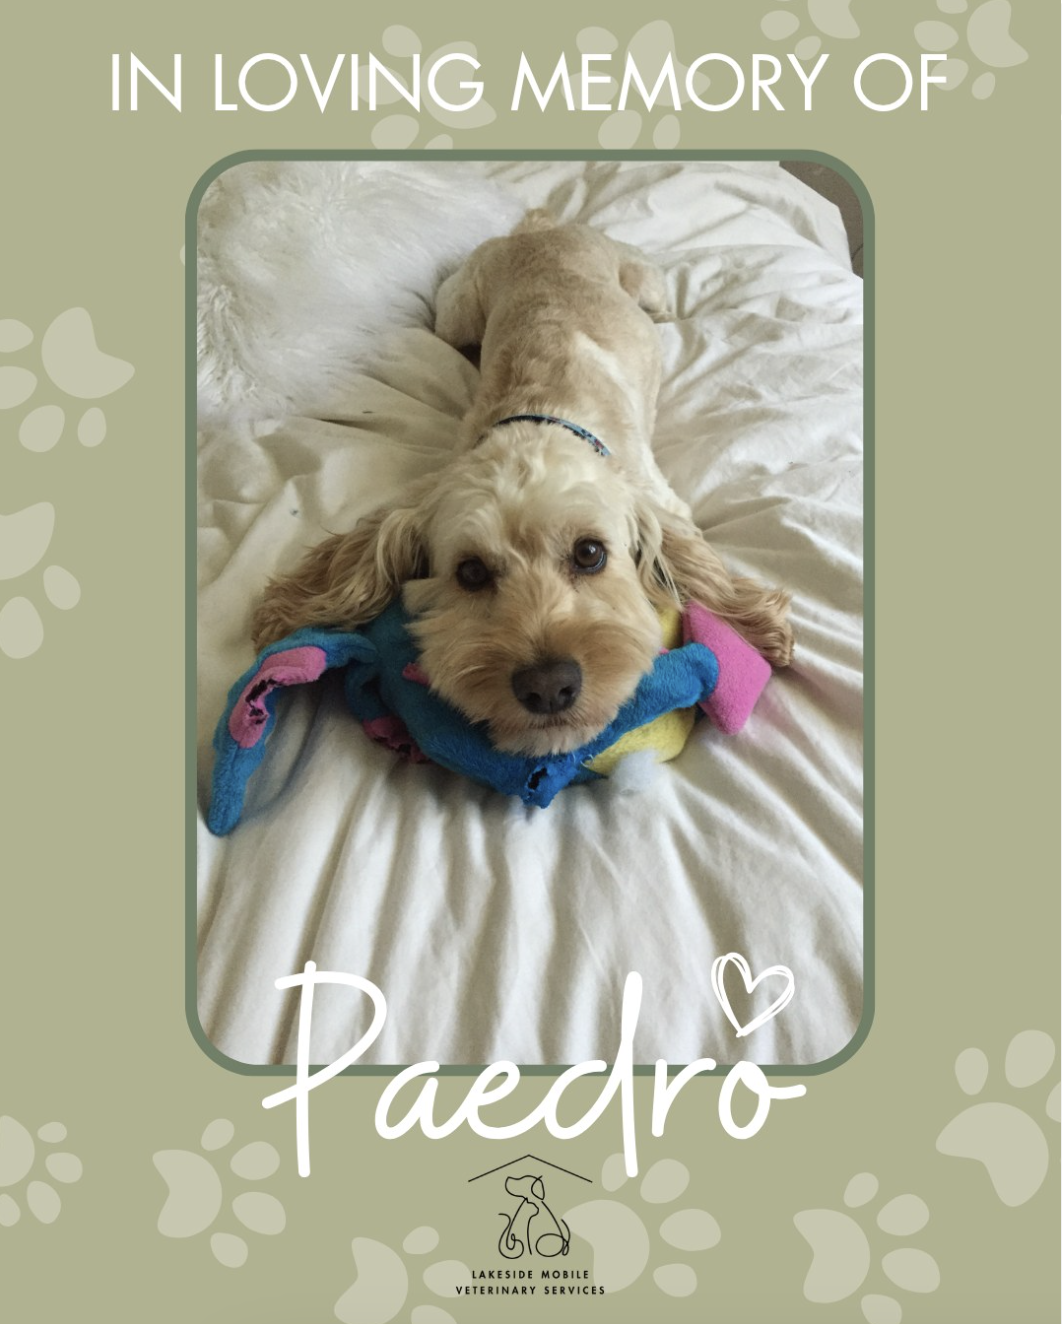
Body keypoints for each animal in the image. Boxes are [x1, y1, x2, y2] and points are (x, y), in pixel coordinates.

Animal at [252, 211, 793, 757]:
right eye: (470, 572)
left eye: (590, 553)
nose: (549, 687)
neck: (537, 418)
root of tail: (540, 227)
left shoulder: (660, 498)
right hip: (457, 312)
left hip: (642, 280)